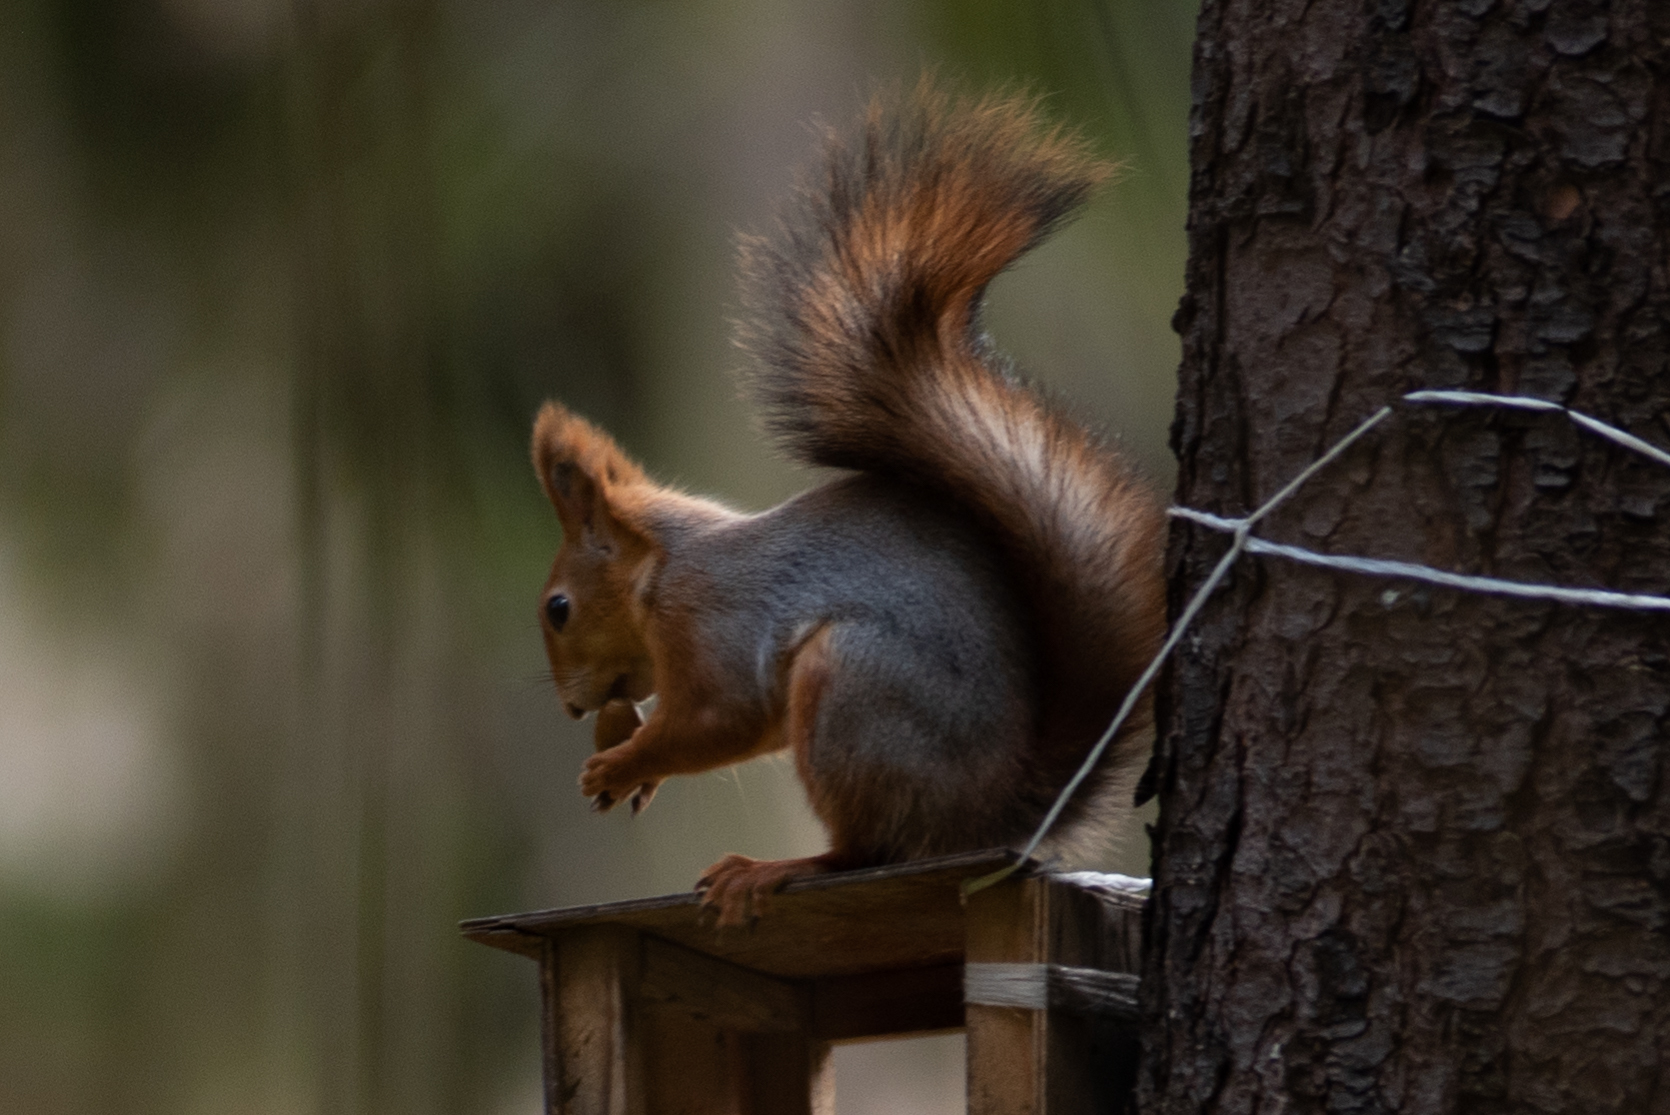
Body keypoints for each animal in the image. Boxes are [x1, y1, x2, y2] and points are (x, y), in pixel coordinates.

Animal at [531, 82, 1162, 928]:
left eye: (559, 607)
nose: (571, 710)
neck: (662, 570)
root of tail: (991, 812)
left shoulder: (713, 621)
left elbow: (721, 718)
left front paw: (620, 761)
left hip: (854, 692)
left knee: (866, 851)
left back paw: (773, 867)